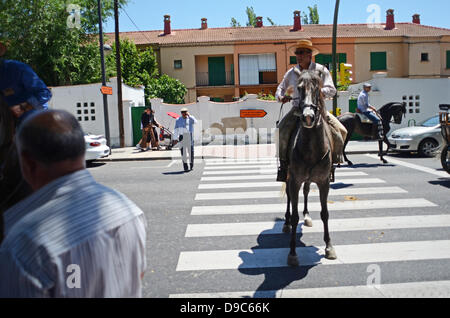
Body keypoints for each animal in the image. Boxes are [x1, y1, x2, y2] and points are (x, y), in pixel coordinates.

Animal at [284, 69, 336, 266]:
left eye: (317, 89)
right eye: (299, 88)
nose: (307, 117)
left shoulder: (323, 182)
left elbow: (325, 213)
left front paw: (329, 247)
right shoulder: (295, 180)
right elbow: (294, 215)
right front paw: (292, 252)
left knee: (306, 191)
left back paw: (307, 215)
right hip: (289, 176)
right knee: (289, 197)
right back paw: (286, 223)